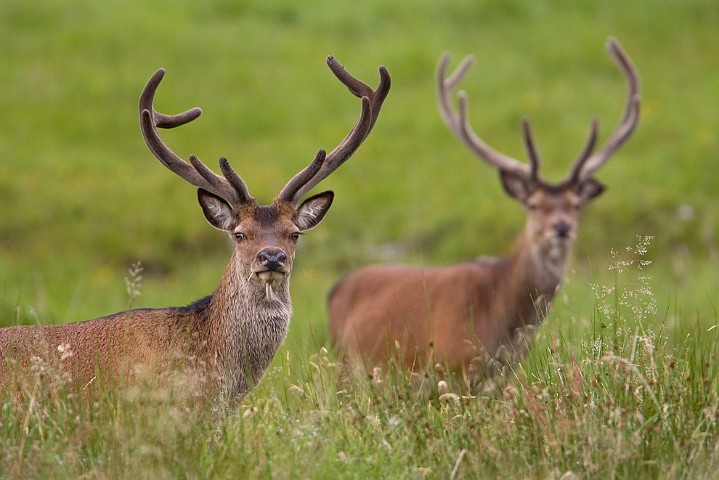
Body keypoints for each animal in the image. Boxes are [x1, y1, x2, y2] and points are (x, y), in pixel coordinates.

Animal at [330, 37, 640, 386]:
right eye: (533, 204)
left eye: (577, 204)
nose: (561, 227)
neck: (498, 318)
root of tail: (335, 289)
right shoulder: (452, 365)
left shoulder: (503, 376)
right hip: (346, 366)